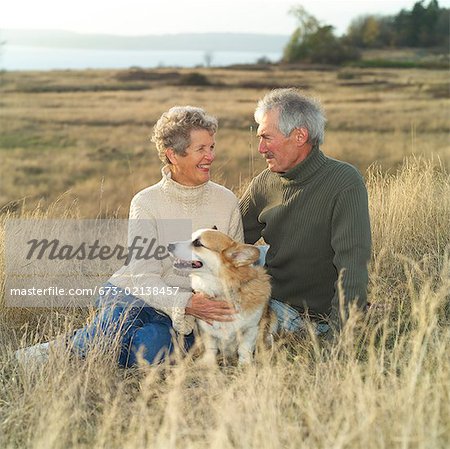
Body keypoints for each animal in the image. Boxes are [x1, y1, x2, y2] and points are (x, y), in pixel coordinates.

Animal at [167, 228, 276, 364]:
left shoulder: (251, 329)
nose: (168, 245)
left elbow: (244, 349)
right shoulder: (207, 331)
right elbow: (210, 348)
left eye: (198, 243)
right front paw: (207, 363)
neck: (224, 292)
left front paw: (245, 365)